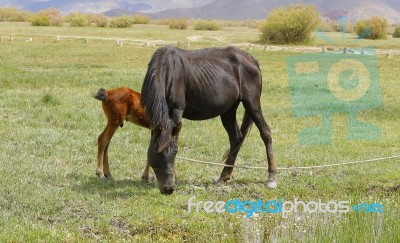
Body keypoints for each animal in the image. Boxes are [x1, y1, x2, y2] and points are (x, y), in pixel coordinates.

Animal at [142, 45, 276, 194]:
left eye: (175, 152)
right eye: (156, 153)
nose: (168, 188)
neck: (168, 69)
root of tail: (251, 59)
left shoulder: (177, 110)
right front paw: (145, 176)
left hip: (252, 103)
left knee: (265, 133)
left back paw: (271, 177)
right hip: (228, 110)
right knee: (236, 138)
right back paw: (224, 176)